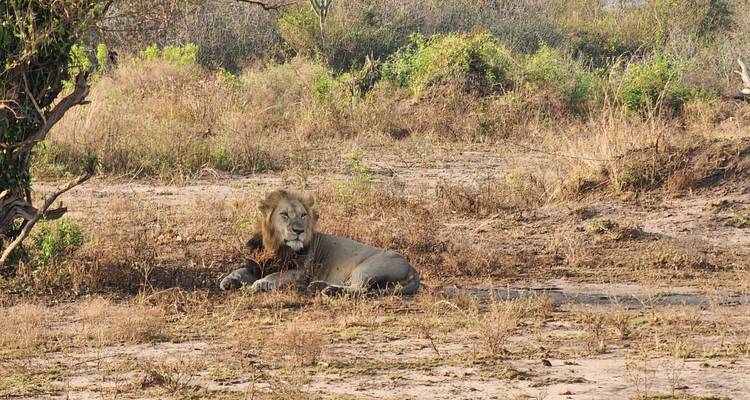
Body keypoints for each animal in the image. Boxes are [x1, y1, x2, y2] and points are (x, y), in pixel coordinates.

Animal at [219, 189, 420, 296]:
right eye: (284, 215)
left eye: (303, 215)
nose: (299, 231)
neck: (275, 246)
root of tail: (412, 267)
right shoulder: (256, 265)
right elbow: (240, 270)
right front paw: (228, 280)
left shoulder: (300, 273)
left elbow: (276, 275)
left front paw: (261, 283)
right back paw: (320, 286)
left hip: (366, 269)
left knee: (360, 289)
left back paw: (325, 288)